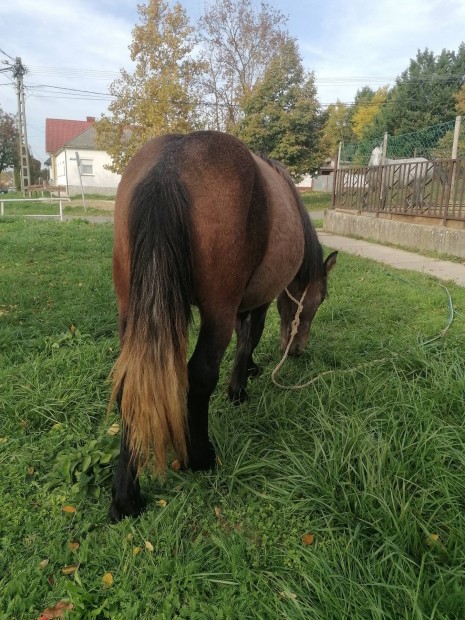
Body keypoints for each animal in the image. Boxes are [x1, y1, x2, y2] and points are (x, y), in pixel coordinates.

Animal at [109, 132, 338, 524]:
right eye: (319, 299)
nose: (296, 349)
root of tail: (171, 162)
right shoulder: (258, 299)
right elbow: (249, 338)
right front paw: (239, 388)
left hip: (132, 307)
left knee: (130, 382)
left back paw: (126, 497)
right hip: (218, 310)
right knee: (200, 374)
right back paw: (199, 458)